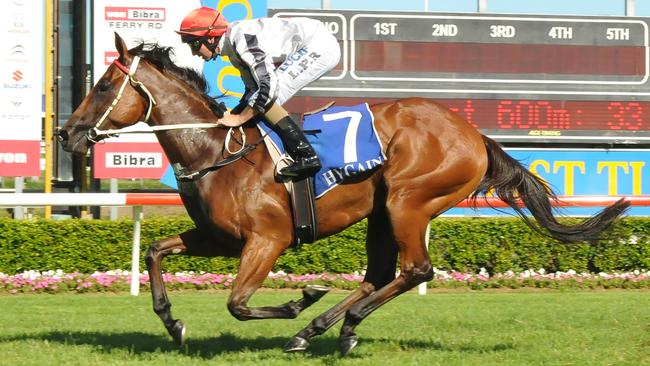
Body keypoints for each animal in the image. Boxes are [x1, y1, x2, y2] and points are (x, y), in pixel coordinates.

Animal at [58, 34, 624, 354]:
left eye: (104, 86)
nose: (67, 134)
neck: (217, 150)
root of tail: (473, 133)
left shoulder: (267, 241)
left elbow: (238, 303)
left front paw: (298, 299)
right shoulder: (217, 239)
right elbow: (156, 250)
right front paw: (173, 323)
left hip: (408, 201)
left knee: (415, 270)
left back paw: (331, 322)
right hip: (382, 211)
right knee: (380, 274)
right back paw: (325, 329)